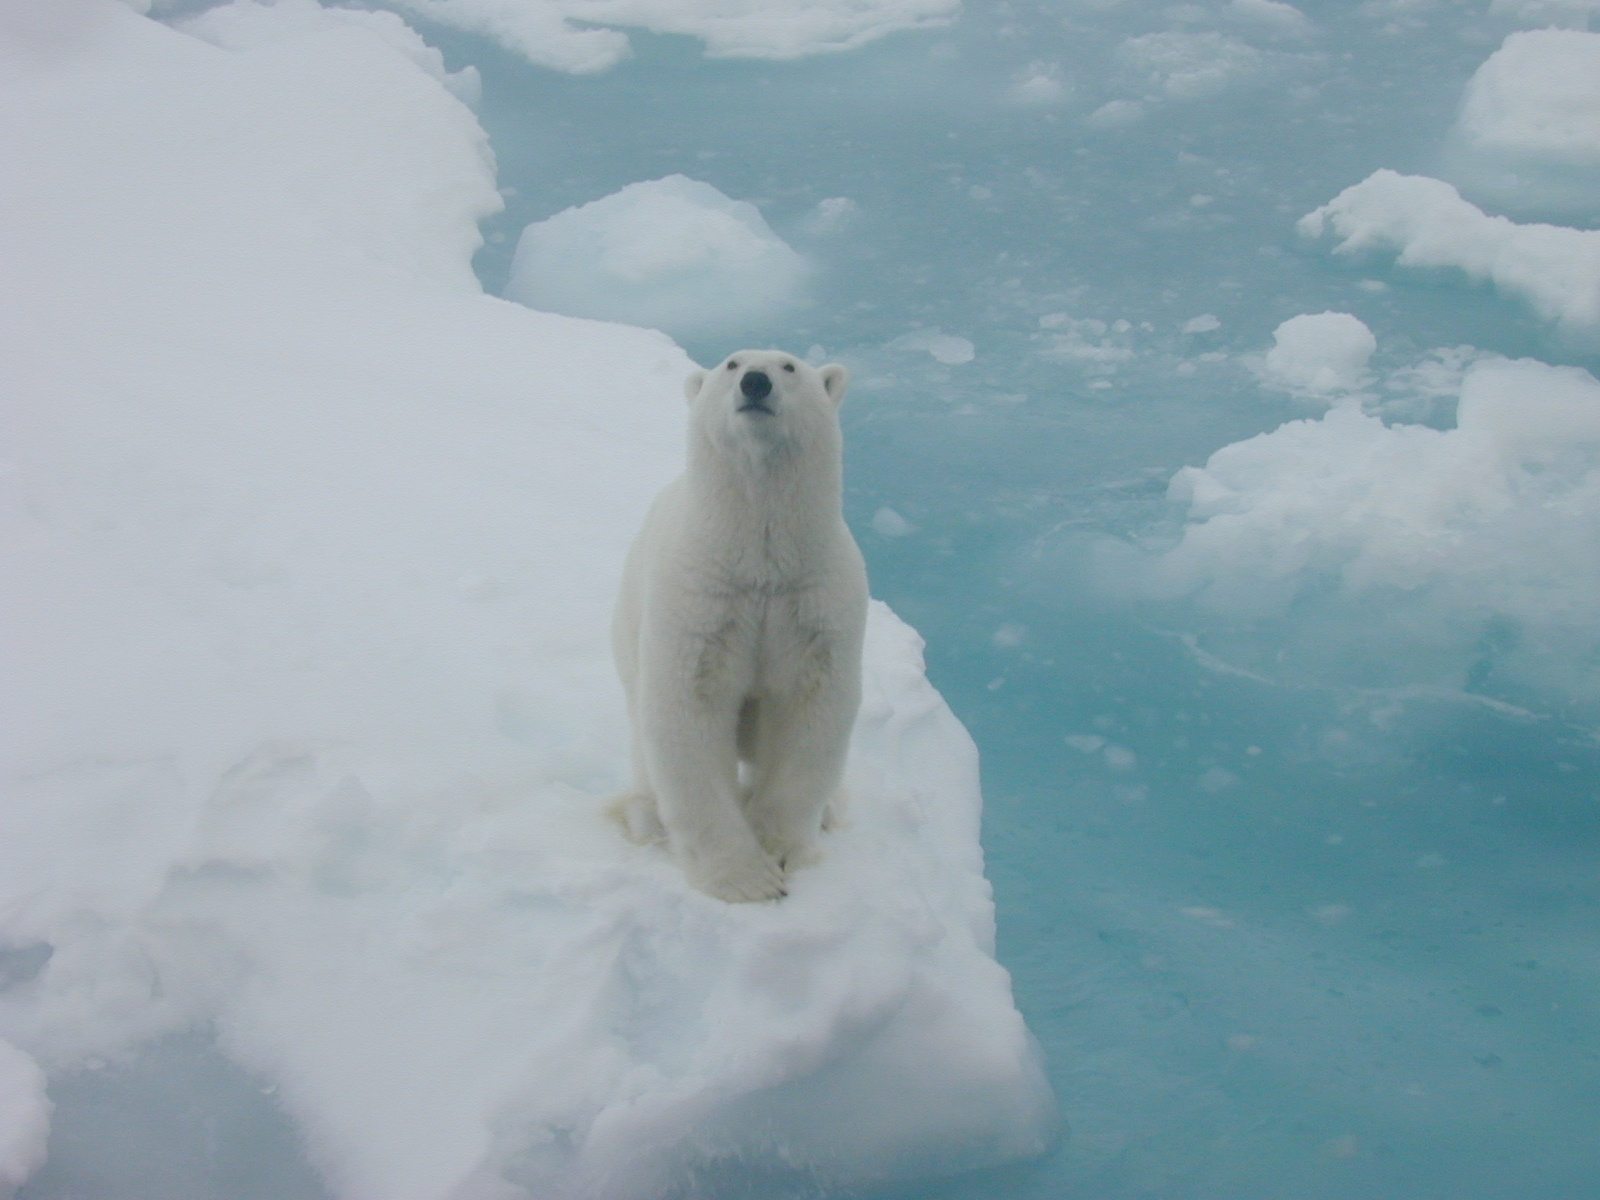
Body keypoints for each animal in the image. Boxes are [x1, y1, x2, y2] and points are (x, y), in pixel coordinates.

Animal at [611, 347, 870, 902]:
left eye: (790, 366)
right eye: (731, 363)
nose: (755, 383)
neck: (759, 564)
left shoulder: (815, 601)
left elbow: (809, 714)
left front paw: (780, 851)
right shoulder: (701, 601)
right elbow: (688, 712)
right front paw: (746, 879)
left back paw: (830, 810)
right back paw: (646, 816)